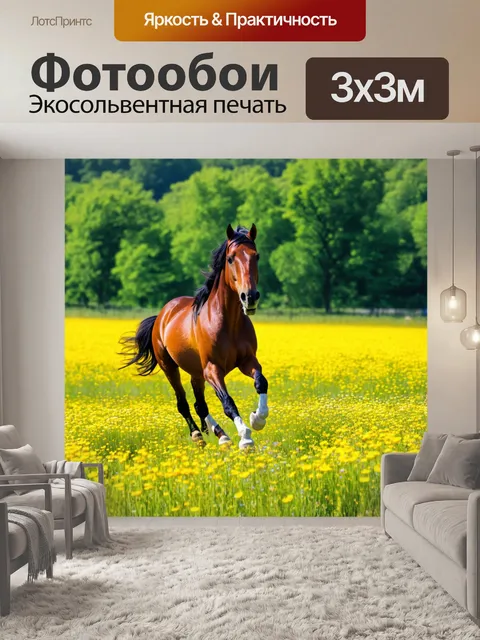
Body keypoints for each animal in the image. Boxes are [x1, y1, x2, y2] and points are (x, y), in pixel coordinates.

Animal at [120, 224, 269, 450]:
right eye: (231, 258)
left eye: (256, 256)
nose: (249, 297)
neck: (228, 321)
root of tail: (162, 315)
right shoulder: (212, 369)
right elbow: (227, 402)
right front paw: (245, 437)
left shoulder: (247, 360)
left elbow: (261, 382)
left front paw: (257, 418)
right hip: (170, 367)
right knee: (183, 402)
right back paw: (199, 435)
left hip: (196, 372)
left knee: (200, 405)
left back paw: (221, 436)